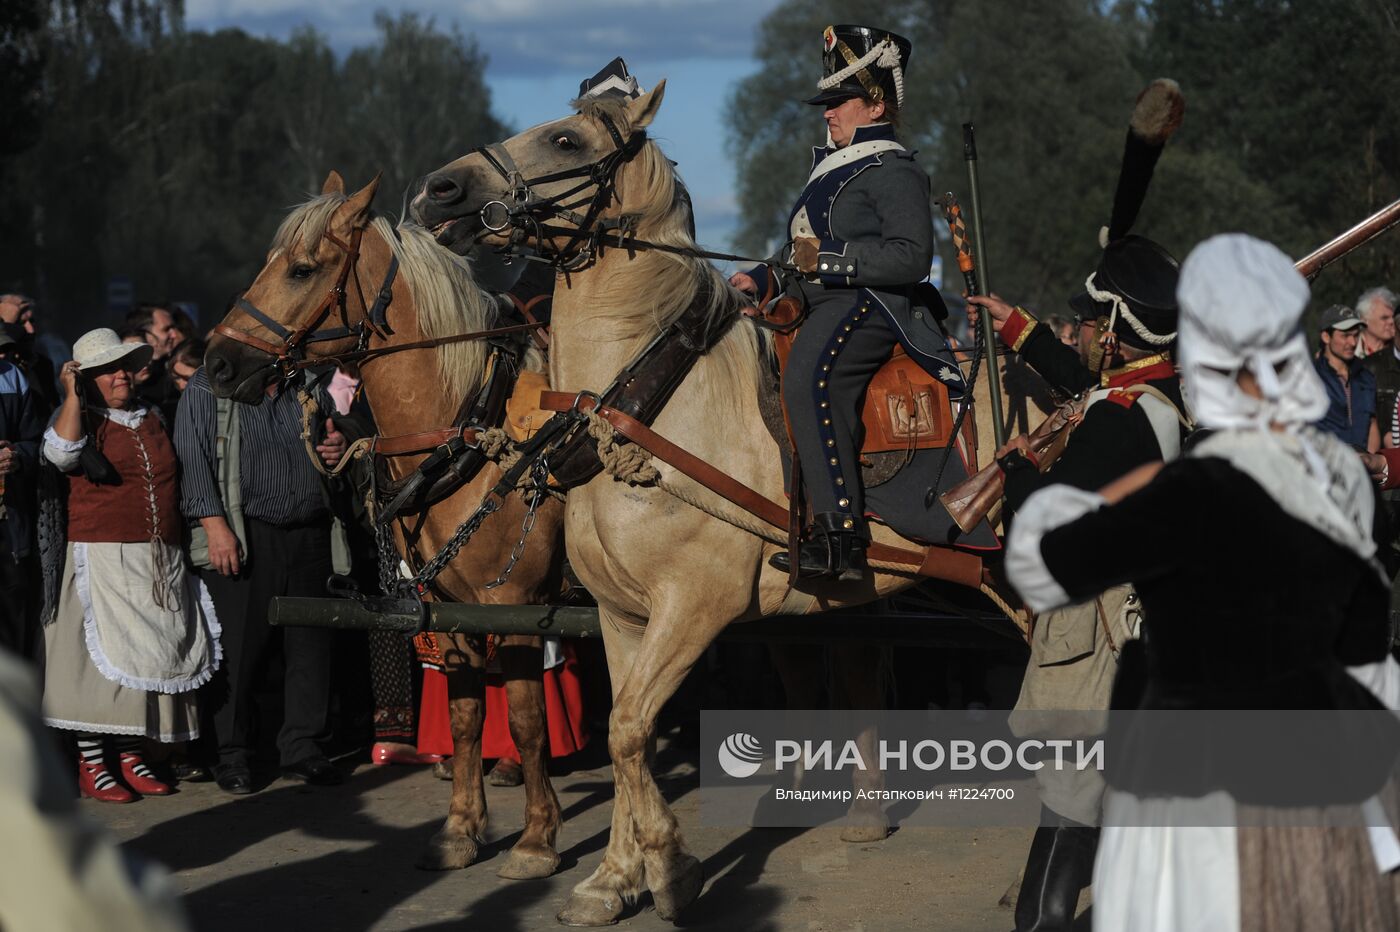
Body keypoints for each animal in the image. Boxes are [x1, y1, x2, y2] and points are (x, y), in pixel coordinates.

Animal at [198, 172, 568, 878]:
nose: (218, 365)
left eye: (303, 268)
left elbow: (528, 719)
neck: (468, 428)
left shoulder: (517, 604)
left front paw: (537, 840)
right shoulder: (448, 606)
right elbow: (465, 717)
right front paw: (460, 830)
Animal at [408, 87, 1041, 923]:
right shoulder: (623, 615)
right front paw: (614, 879)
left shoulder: (695, 605)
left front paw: (670, 868)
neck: (649, 411)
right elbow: (628, 731)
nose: (439, 189)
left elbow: (628, 728)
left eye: (567, 139)